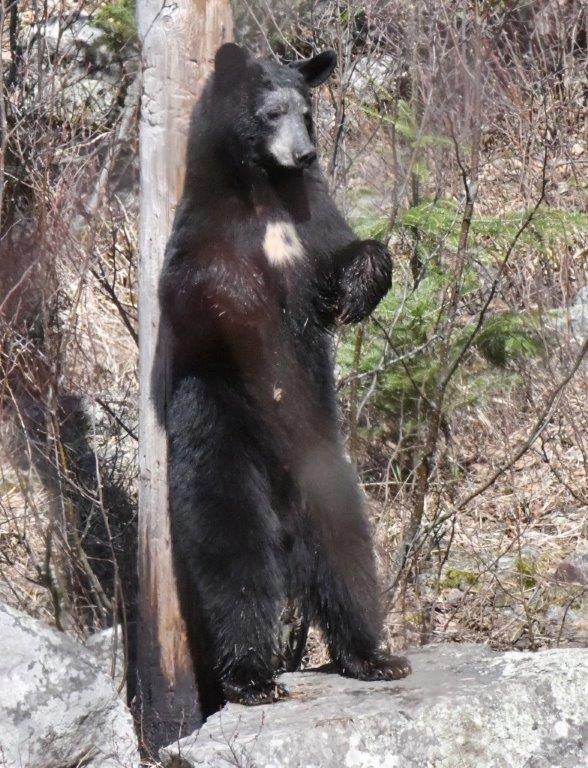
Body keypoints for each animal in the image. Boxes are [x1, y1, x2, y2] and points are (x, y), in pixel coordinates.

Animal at [159, 43, 411, 716]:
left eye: (306, 109)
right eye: (272, 111)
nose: (305, 154)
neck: (266, 194)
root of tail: (281, 491)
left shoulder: (310, 218)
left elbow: (343, 250)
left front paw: (360, 285)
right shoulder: (201, 230)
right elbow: (191, 292)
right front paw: (243, 296)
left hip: (325, 463)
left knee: (346, 550)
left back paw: (372, 655)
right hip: (219, 438)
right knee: (233, 554)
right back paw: (252, 676)